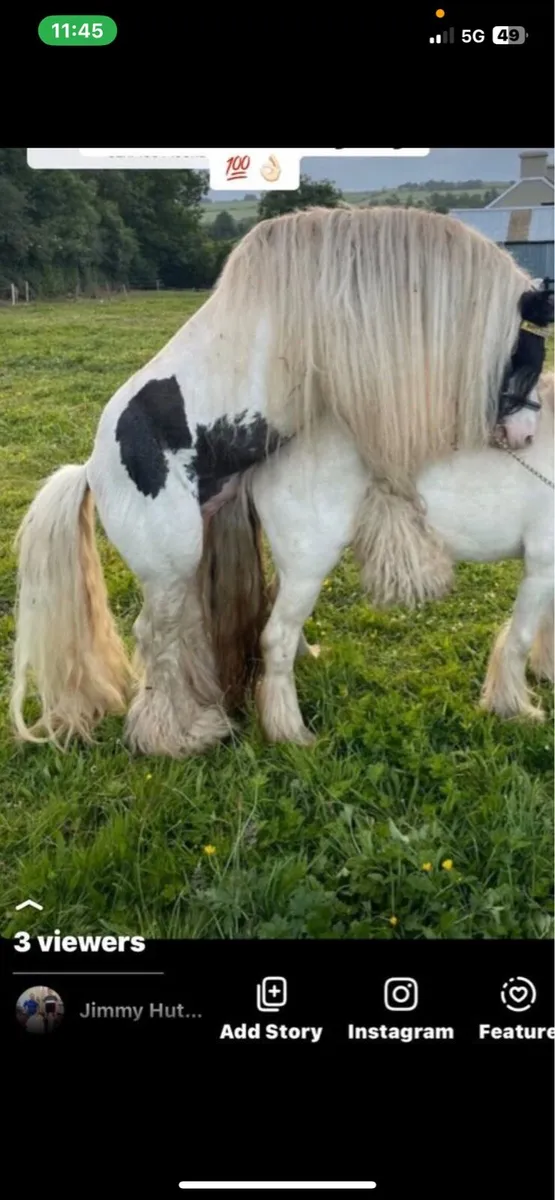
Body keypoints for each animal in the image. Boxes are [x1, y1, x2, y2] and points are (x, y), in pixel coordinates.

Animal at [9, 206, 553, 757]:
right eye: (531, 355)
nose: (525, 435)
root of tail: (91, 471)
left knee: (192, 631)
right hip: (171, 565)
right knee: (159, 636)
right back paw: (179, 734)